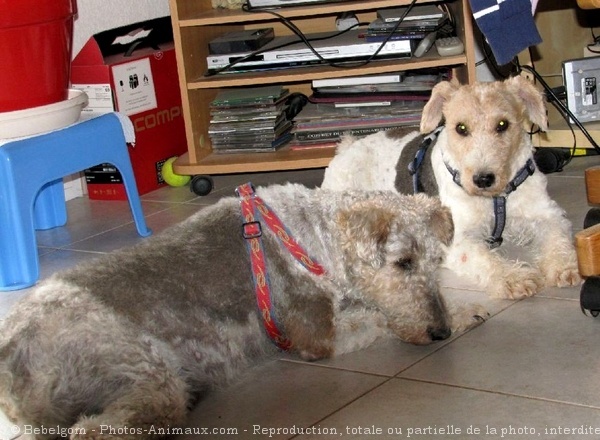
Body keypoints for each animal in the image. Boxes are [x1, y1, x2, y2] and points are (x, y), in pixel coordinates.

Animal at [0, 182, 486, 436]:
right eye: (403, 262)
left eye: (436, 261)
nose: (440, 331)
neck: (311, 239)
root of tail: (11, 359)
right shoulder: (317, 335)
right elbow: (379, 318)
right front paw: (464, 316)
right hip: (146, 371)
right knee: (95, 427)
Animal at [324, 76, 580, 300]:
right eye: (461, 128)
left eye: (503, 124)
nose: (483, 180)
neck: (496, 198)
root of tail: (345, 148)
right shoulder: (457, 240)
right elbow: (486, 259)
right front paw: (515, 279)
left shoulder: (547, 215)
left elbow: (557, 238)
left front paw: (565, 268)